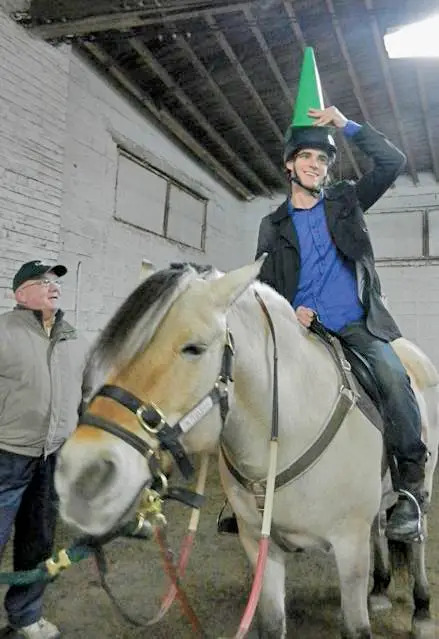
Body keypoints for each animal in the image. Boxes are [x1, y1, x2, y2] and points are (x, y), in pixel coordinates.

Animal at [55, 260, 439, 639]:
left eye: (194, 348)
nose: (79, 474)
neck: (293, 427)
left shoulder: (350, 548)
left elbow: (357, 627)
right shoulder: (259, 547)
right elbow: (271, 624)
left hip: (423, 483)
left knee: (415, 535)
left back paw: (421, 607)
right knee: (379, 526)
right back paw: (380, 588)